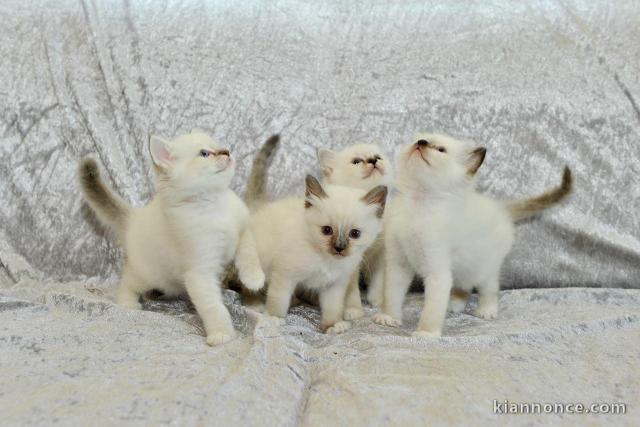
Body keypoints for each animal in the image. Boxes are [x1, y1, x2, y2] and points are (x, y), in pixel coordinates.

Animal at [79, 129, 264, 346]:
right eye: (204, 154)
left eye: (218, 145)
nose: (227, 151)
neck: (214, 204)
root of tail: (135, 217)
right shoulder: (198, 272)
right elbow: (213, 307)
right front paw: (221, 334)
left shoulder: (242, 230)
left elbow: (248, 253)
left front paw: (254, 279)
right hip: (147, 274)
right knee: (127, 281)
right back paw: (128, 303)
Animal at [235, 175, 384, 334]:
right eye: (327, 230)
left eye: (355, 234)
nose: (339, 248)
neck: (326, 259)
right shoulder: (284, 276)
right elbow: (278, 300)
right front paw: (274, 318)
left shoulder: (334, 285)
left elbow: (333, 308)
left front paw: (333, 326)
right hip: (257, 264)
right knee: (249, 285)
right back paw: (254, 305)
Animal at [318, 143, 392, 314]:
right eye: (356, 161)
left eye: (378, 157)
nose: (373, 160)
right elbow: (351, 289)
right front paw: (353, 309)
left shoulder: (381, 253)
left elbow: (379, 281)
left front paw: (377, 302)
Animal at [372, 134, 572, 338]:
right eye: (419, 140)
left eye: (440, 150)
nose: (421, 143)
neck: (418, 203)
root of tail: (501, 209)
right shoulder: (398, 264)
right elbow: (392, 295)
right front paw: (389, 318)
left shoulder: (437, 271)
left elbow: (431, 311)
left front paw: (426, 334)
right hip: (464, 267)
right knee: (464, 286)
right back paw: (454, 305)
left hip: (485, 269)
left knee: (490, 289)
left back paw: (486, 311)